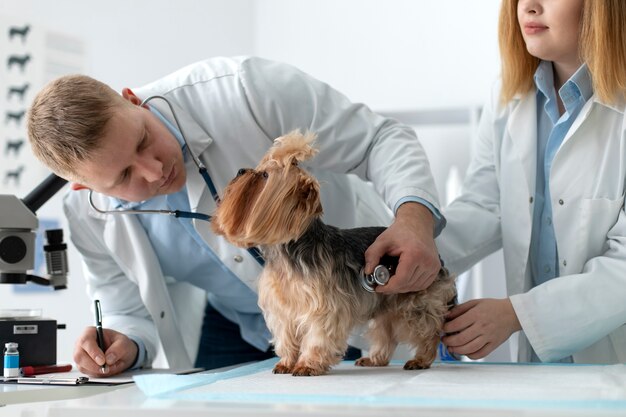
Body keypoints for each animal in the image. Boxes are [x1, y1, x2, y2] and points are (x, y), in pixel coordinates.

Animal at [210, 132, 454, 376]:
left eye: (264, 175)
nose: (240, 170)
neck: (288, 251)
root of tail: (437, 255)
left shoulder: (324, 306)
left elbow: (317, 336)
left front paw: (307, 364)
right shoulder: (283, 309)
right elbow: (285, 336)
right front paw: (286, 362)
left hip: (415, 296)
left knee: (429, 330)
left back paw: (421, 359)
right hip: (386, 301)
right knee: (385, 332)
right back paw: (374, 359)